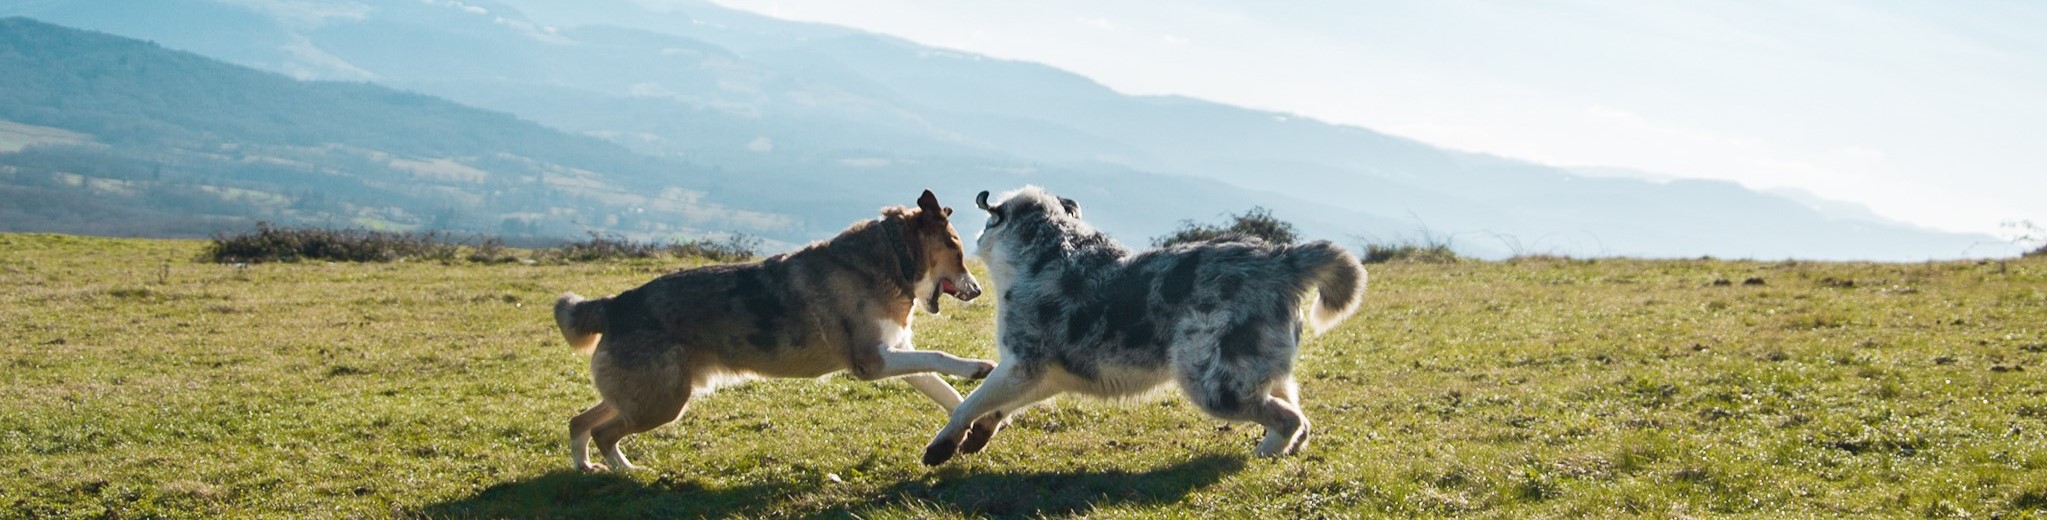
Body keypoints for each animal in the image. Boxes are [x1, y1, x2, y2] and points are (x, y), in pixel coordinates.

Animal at [552, 190, 982, 470]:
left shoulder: (894, 352)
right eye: (958, 251)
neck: (892, 258)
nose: (978, 290)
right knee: (603, 432)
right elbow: (939, 357)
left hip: (648, 394)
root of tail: (612, 305)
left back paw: (586, 468)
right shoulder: (873, 361)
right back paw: (626, 472)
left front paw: (969, 424)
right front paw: (976, 368)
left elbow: (941, 386)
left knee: (581, 421)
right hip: (662, 401)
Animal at [921, 186, 1367, 462]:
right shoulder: (1050, 374)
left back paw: (1261, 454)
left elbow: (970, 402)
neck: (1048, 250)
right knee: (1299, 415)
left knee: (1290, 419)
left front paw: (941, 446)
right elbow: (997, 406)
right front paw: (978, 435)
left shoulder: (1023, 363)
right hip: (1266, 373)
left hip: (1214, 385)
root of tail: (1281, 261)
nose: (977, 235)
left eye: (989, 222)